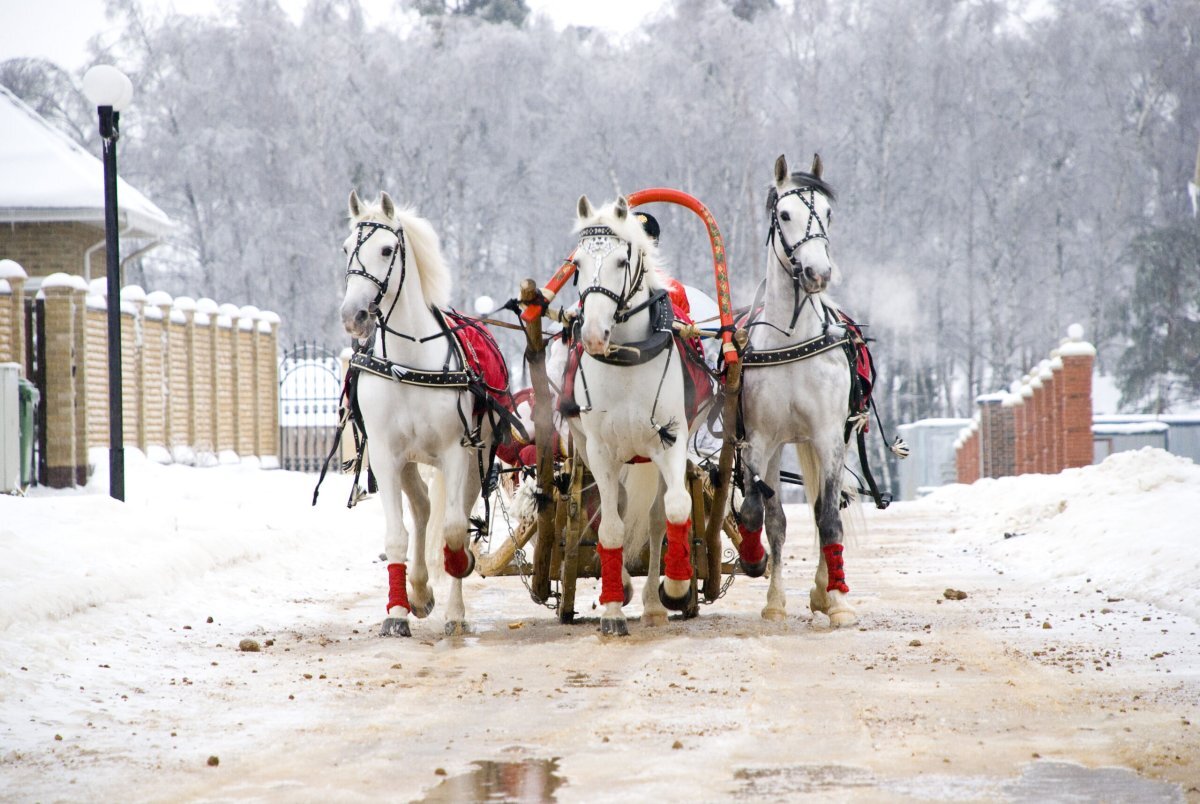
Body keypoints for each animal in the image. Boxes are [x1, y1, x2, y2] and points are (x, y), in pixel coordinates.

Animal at [340, 192, 504, 638]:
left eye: (386, 249)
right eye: (345, 248)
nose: (353, 315)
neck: (408, 363)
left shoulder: (456, 451)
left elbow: (454, 531)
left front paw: (456, 596)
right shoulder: (385, 454)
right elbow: (397, 535)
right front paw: (398, 610)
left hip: (477, 458)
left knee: (453, 515)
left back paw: (452, 604)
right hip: (411, 460)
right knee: (423, 508)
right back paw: (418, 589)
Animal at [568, 193, 696, 638]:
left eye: (622, 262)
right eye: (576, 265)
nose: (592, 334)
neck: (627, 357)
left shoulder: (670, 441)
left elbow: (676, 508)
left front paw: (676, 586)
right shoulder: (600, 451)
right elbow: (610, 527)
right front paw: (611, 609)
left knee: (658, 519)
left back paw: (657, 603)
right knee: (619, 511)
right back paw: (622, 586)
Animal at [734, 153, 859, 628]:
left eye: (828, 213)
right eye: (784, 214)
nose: (818, 273)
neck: (791, 341)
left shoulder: (827, 436)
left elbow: (827, 518)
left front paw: (838, 601)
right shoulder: (760, 440)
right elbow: (764, 515)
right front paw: (766, 586)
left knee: (827, 506)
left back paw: (826, 589)